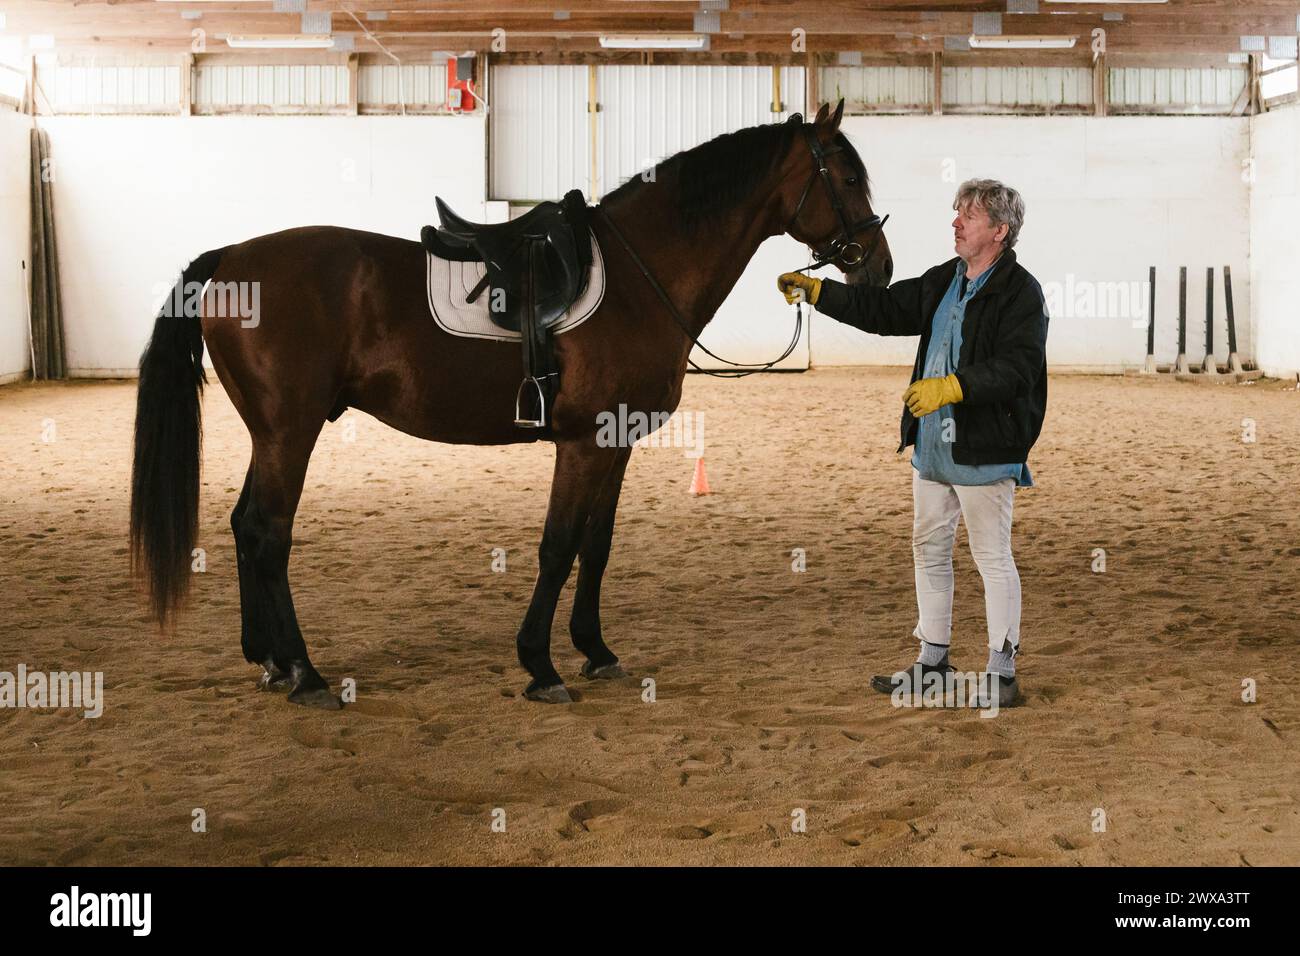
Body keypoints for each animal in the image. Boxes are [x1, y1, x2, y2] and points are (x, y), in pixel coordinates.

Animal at [129, 100, 894, 707]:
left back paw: (271, 660)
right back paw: (307, 673)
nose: (880, 268)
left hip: (272, 434)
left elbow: (597, 545)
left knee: (243, 526)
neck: (641, 275)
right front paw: (539, 664)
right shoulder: (583, 443)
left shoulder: (616, 442)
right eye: (848, 177)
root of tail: (230, 260)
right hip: (291, 432)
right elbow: (558, 546)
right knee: (268, 531)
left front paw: (595, 650)